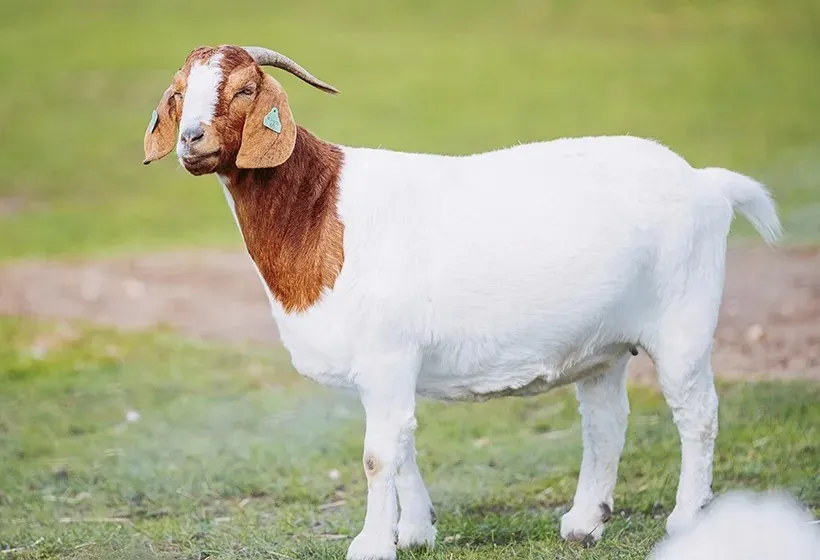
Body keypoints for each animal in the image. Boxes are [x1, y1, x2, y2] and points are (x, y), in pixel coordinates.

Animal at [143, 45, 782, 560]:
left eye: (245, 89)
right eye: (178, 95)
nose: (191, 140)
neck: (322, 211)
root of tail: (706, 182)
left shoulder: (386, 355)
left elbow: (379, 453)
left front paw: (372, 545)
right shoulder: (384, 368)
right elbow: (401, 443)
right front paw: (415, 532)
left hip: (684, 323)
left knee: (697, 415)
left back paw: (685, 521)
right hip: (603, 343)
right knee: (606, 420)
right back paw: (584, 522)